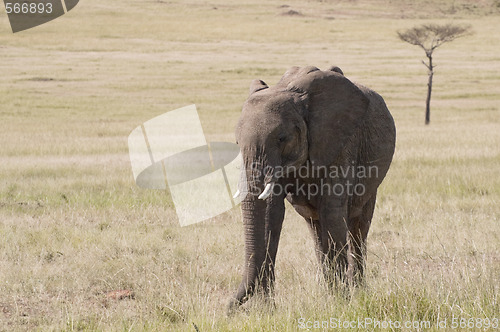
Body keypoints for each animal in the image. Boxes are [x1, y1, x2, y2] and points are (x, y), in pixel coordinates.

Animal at [229, 64, 396, 312]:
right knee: (317, 233)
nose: (227, 309)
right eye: (237, 143)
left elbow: (332, 212)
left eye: (282, 138)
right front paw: (268, 309)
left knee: (358, 228)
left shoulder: (340, 143)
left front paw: (341, 303)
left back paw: (357, 291)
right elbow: (272, 213)